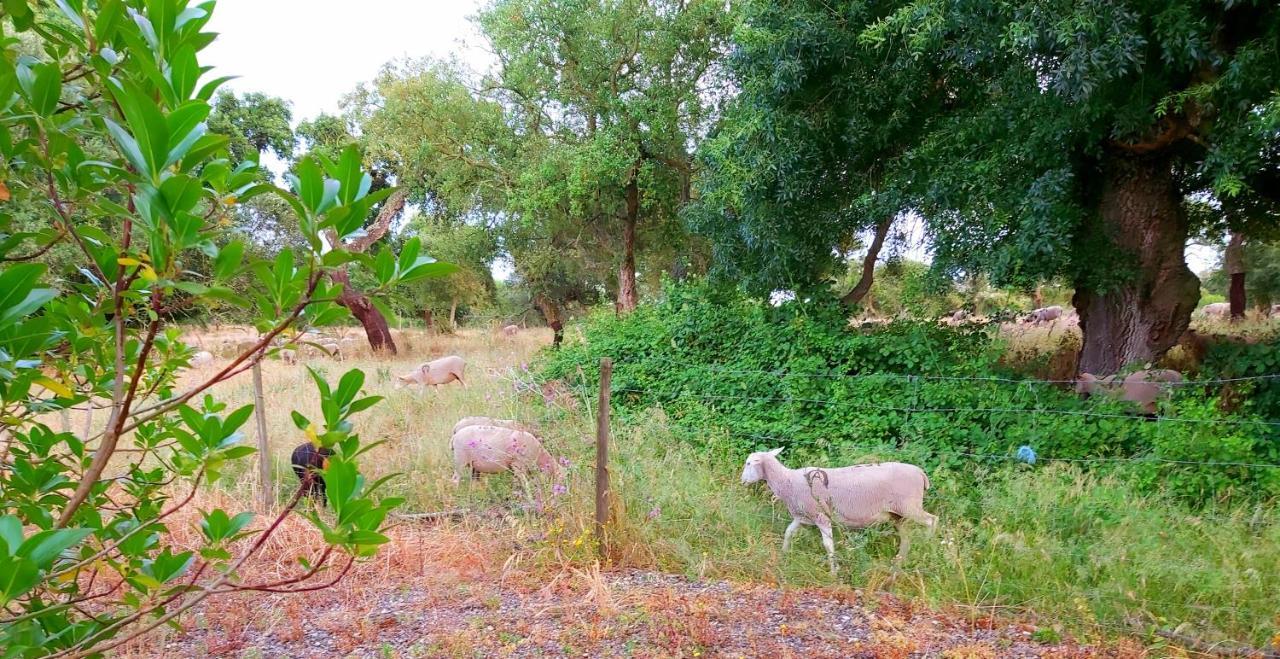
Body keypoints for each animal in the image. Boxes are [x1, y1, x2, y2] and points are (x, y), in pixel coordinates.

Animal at [737, 447, 936, 578]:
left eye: (748, 463)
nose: (742, 481)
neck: (788, 481)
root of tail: (921, 473)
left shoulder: (821, 516)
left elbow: (828, 545)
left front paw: (833, 571)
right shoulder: (802, 516)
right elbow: (789, 532)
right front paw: (784, 554)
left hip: (910, 507)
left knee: (932, 521)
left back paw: (927, 545)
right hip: (897, 516)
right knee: (906, 538)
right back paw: (899, 561)